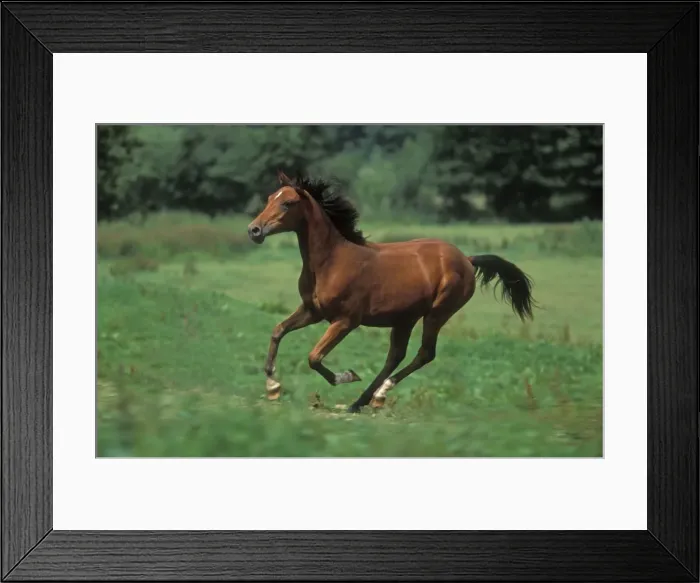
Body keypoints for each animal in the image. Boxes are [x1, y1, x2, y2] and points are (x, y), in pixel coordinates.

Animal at [247, 171, 536, 413]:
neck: (331, 262)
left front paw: (347, 375)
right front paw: (273, 387)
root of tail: (466, 258)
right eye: (270, 198)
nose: (254, 230)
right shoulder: (312, 311)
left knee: (424, 354)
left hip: (437, 313)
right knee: (396, 356)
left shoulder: (345, 321)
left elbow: (314, 357)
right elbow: (278, 331)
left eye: (287, 203)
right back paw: (360, 402)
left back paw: (379, 394)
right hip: (404, 319)